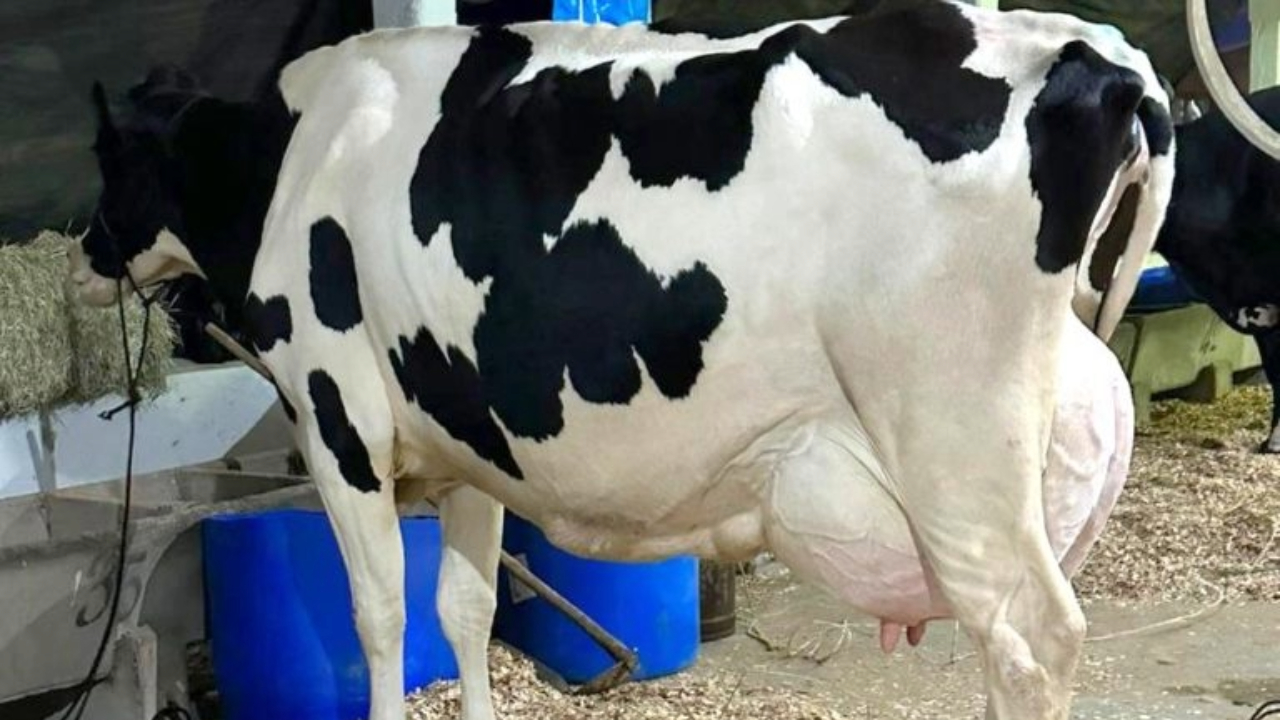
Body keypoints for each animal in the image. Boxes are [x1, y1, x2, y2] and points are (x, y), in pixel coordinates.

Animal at [67, 1, 1177, 718]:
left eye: (105, 160)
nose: (81, 252)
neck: (290, 160)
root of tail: (1090, 50)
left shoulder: (339, 418)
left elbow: (378, 615)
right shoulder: (469, 441)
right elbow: (463, 609)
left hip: (955, 443)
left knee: (1029, 640)